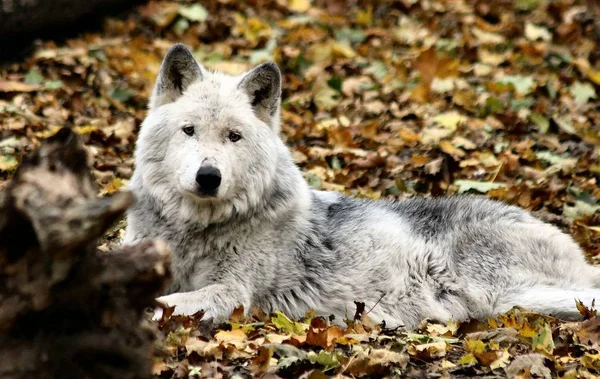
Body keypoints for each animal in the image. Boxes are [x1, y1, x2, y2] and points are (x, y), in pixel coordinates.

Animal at [123, 43, 600, 330]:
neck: (195, 229)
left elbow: (167, 304)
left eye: (233, 137)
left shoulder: (233, 293)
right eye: (189, 130)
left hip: (511, 296)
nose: (209, 176)